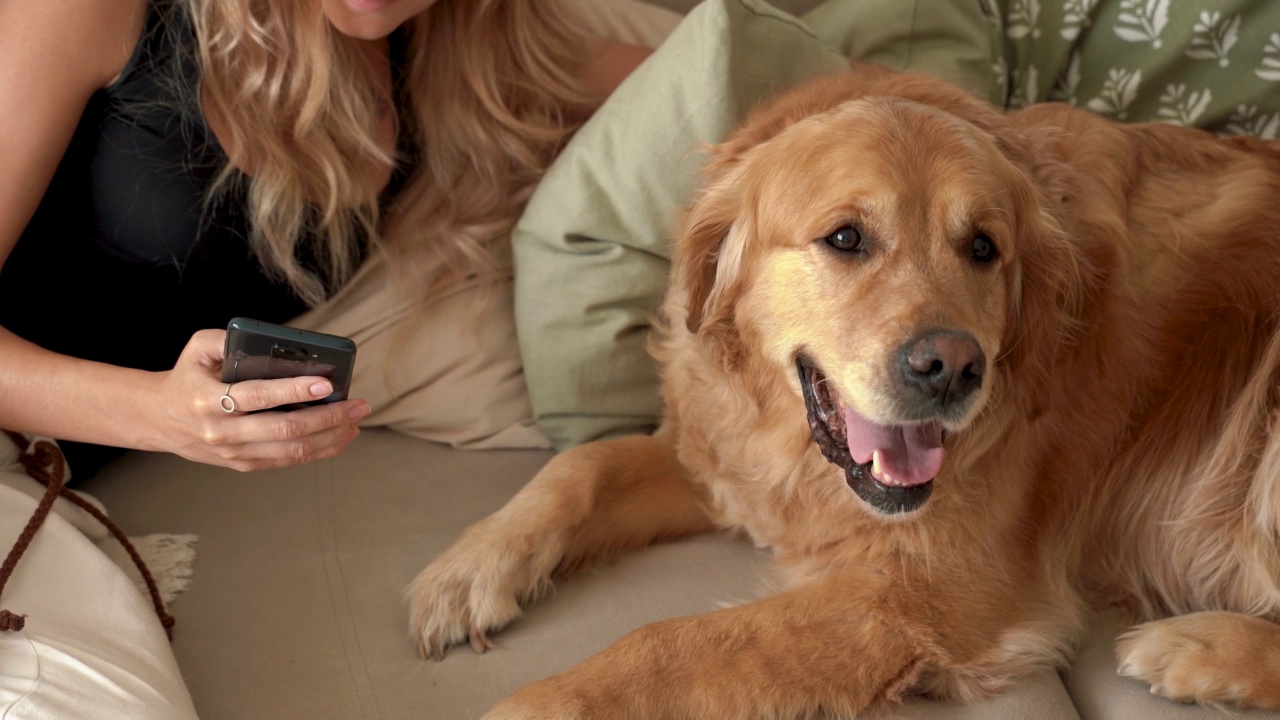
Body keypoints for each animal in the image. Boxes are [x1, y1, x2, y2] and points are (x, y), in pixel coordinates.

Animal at [404, 68, 1280, 717]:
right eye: (846, 238)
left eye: (984, 248)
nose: (952, 367)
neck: (803, 454)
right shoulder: (728, 465)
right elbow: (584, 465)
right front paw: (470, 567)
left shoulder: (924, 595)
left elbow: (669, 644)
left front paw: (535, 704)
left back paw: (1193, 648)